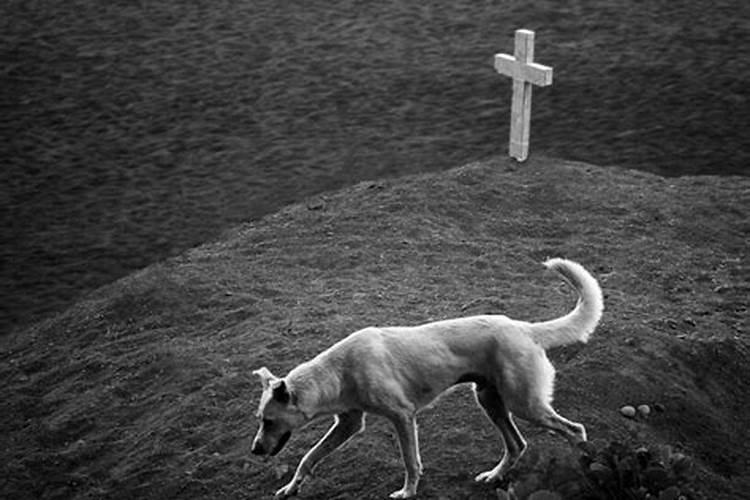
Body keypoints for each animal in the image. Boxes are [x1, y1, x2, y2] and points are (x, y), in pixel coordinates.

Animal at [253, 260, 604, 498]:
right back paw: (494, 476)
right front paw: (291, 488)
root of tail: (523, 328)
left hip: (524, 404)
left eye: (269, 421)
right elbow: (309, 457)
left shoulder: (402, 416)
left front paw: (407, 492)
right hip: (490, 400)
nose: (255, 450)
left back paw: (588, 467)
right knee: (517, 444)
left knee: (575, 430)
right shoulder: (349, 423)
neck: (338, 372)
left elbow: (410, 461)